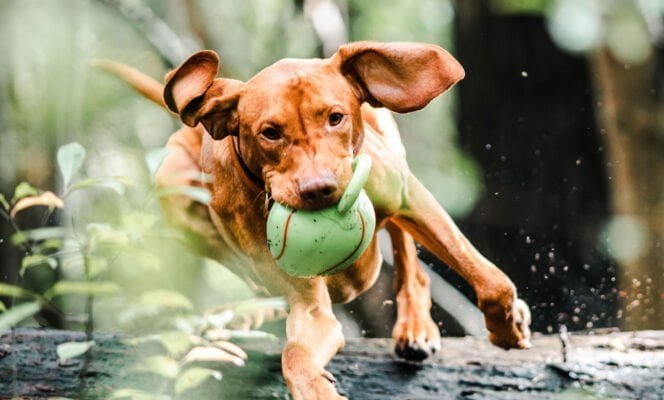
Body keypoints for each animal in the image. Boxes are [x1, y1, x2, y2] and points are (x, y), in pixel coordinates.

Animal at [101, 42, 532, 398]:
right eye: (270, 132)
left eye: (335, 118)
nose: (319, 189)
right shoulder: (309, 306)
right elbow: (295, 354)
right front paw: (316, 388)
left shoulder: (409, 197)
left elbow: (491, 281)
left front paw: (507, 327)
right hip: (174, 187)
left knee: (407, 254)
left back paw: (415, 326)